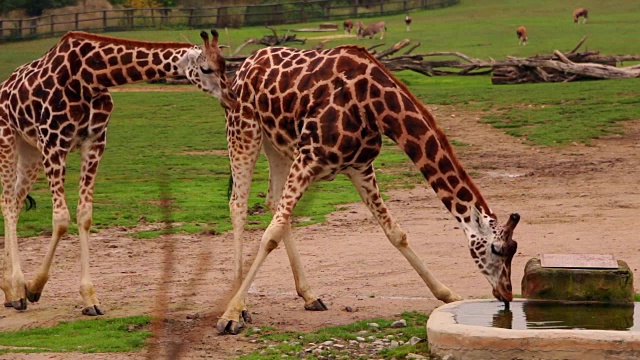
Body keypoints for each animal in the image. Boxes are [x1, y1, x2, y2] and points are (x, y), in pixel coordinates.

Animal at [0, 30, 235, 316]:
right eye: (205, 68)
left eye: (225, 65)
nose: (232, 98)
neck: (90, 76)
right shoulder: (54, 144)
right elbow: (61, 219)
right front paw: (33, 287)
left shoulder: (93, 144)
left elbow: (84, 216)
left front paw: (90, 299)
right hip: (8, 140)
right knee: (8, 203)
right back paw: (15, 289)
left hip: (30, 150)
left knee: (14, 201)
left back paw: (10, 290)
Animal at [218, 45, 516, 334]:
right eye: (497, 249)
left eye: (514, 249)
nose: (507, 294)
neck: (374, 105)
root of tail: (245, 65)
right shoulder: (309, 158)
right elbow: (270, 236)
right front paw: (230, 315)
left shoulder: (360, 168)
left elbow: (396, 233)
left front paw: (448, 294)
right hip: (243, 128)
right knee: (239, 204)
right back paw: (241, 307)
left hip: (276, 142)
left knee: (272, 201)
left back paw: (310, 296)